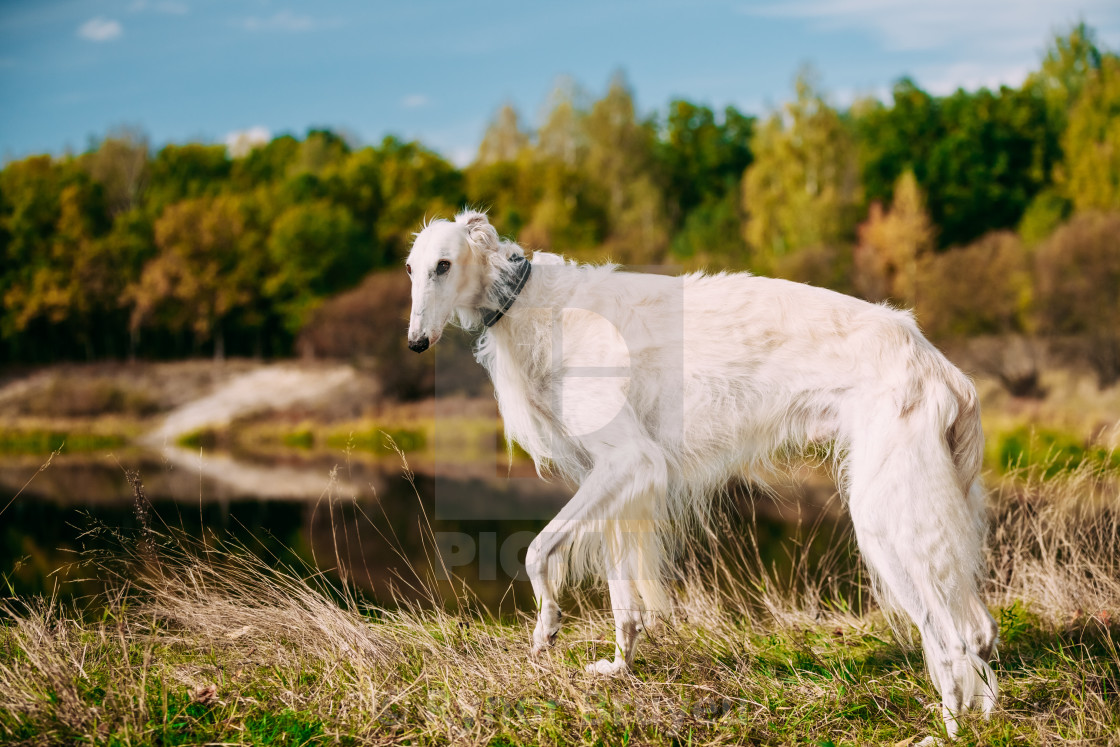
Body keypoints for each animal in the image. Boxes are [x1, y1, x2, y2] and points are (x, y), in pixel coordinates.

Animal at [407, 209, 1003, 734]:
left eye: (444, 265)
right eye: (411, 269)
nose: (415, 343)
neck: (531, 301)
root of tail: (942, 366)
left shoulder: (630, 460)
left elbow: (535, 551)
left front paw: (546, 628)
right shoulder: (615, 480)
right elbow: (624, 602)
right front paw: (618, 668)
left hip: (886, 516)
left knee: (957, 637)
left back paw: (947, 727)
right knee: (977, 631)